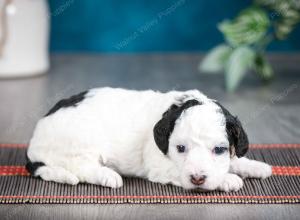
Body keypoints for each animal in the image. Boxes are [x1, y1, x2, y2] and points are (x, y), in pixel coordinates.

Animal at [26, 87, 272, 191]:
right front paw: (228, 179)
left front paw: (255, 166)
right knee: (83, 168)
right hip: (81, 141)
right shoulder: (159, 166)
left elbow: (235, 159)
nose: (197, 179)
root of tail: (32, 147)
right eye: (180, 148)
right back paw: (107, 175)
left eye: (219, 150)